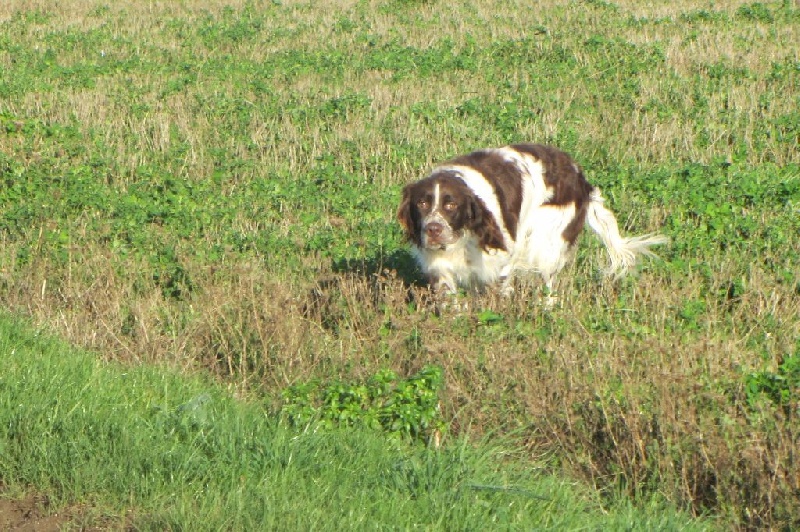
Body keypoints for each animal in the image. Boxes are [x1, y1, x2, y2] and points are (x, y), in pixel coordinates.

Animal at [396, 143, 664, 298]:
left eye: (451, 205)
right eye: (421, 204)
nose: (433, 229)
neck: (463, 239)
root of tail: (581, 178)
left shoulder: (503, 259)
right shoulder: (440, 268)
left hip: (546, 242)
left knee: (549, 285)